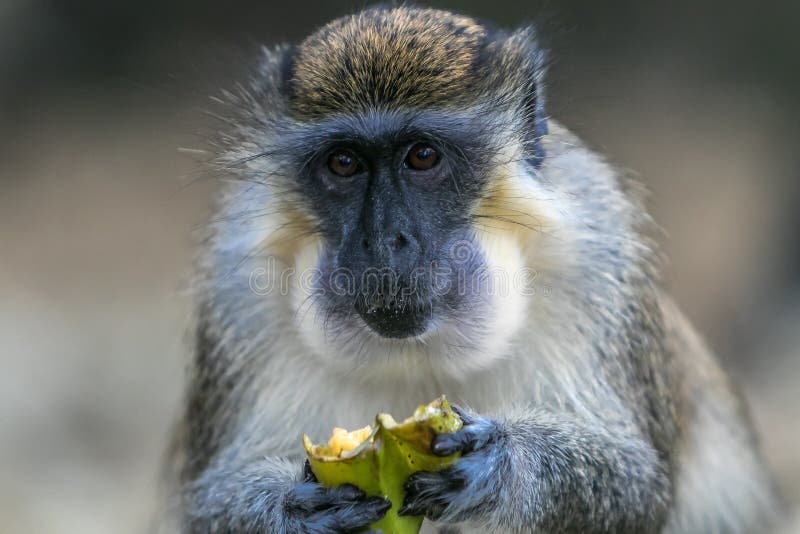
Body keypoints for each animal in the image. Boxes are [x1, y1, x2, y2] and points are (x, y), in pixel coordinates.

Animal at [170, 5, 782, 533]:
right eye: (343, 163)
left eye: (422, 156)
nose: (384, 241)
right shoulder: (235, 287)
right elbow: (207, 506)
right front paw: (291, 509)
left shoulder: (602, 251)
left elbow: (638, 485)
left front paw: (507, 467)